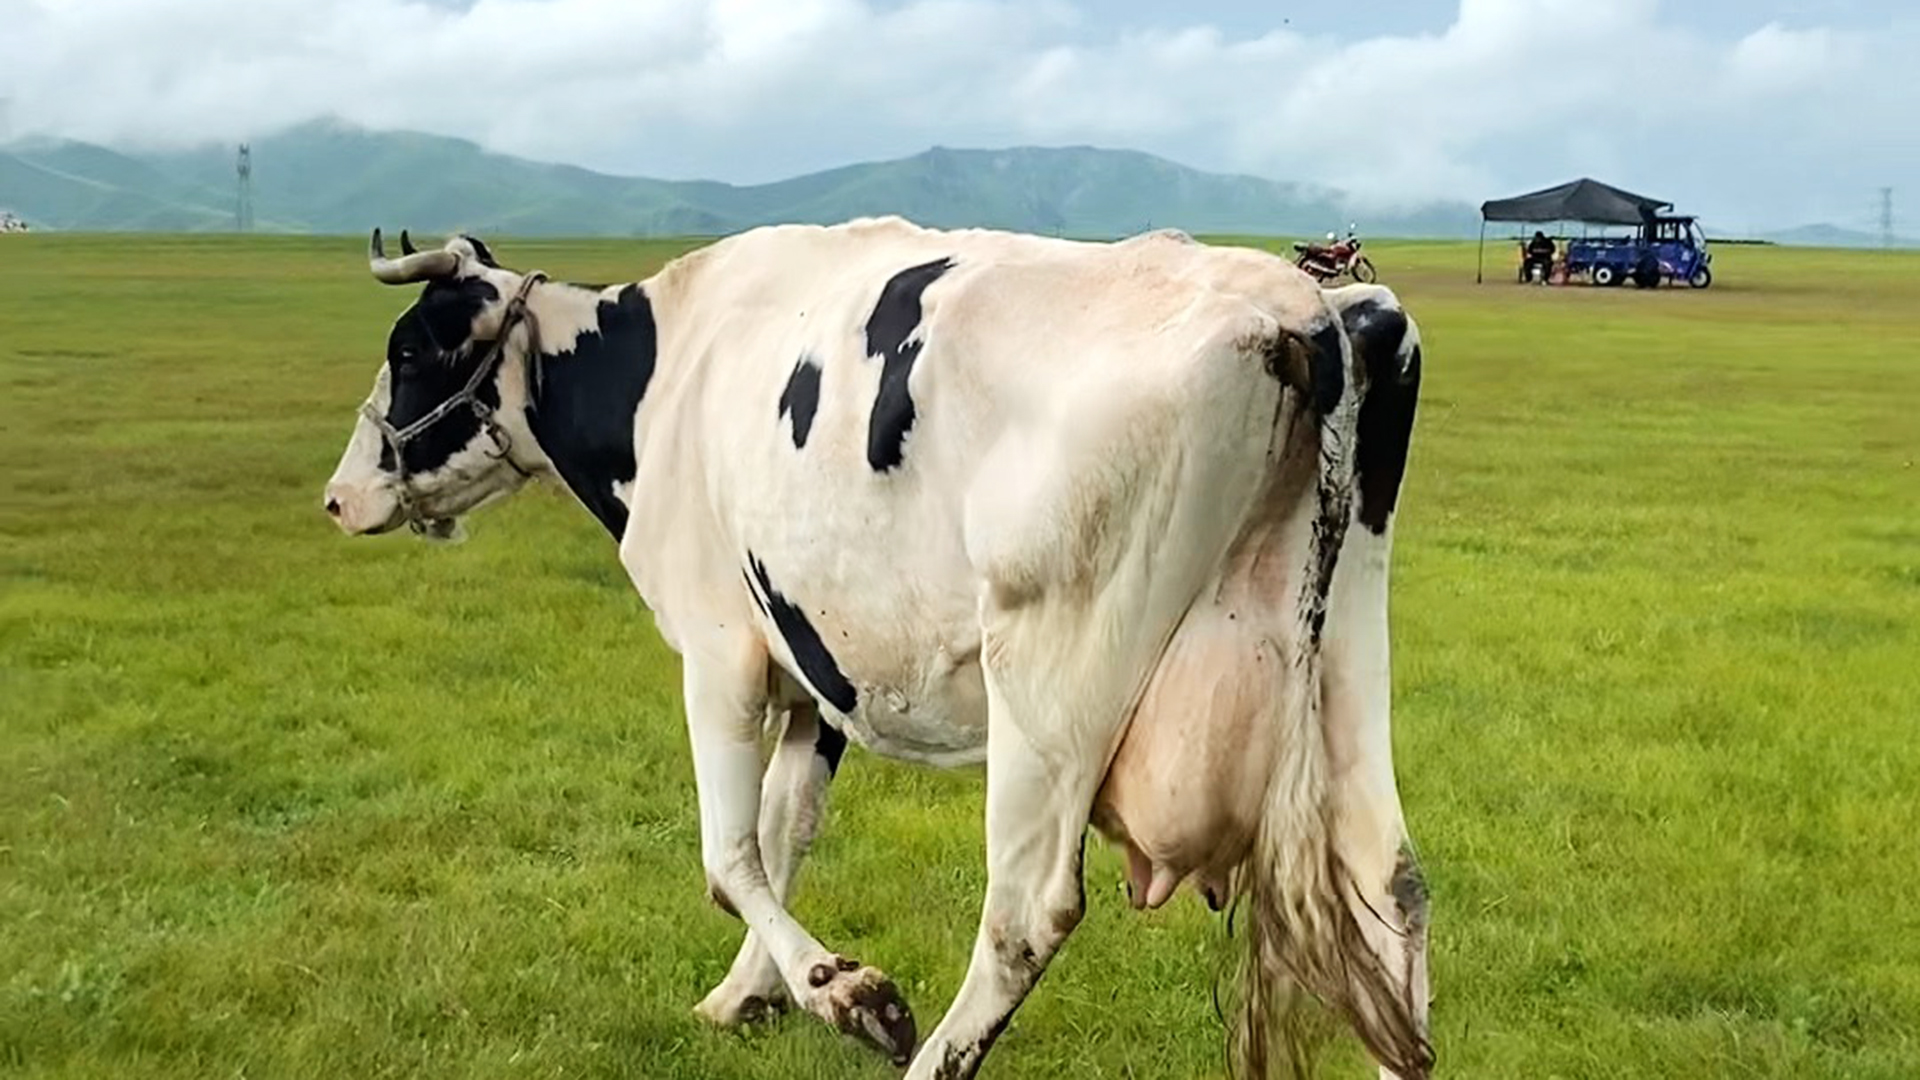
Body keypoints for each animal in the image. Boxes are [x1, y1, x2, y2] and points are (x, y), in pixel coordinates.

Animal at [322, 218, 1432, 1079]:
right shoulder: (814, 674)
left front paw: (844, 993)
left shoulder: (719, 654)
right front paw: (744, 995)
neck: (666, 382)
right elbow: (783, 834)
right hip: (1344, 667)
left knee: (1026, 914)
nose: (338, 497)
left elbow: (729, 855)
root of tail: (1303, 308)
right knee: (1393, 887)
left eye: (412, 351)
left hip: (1051, 679)